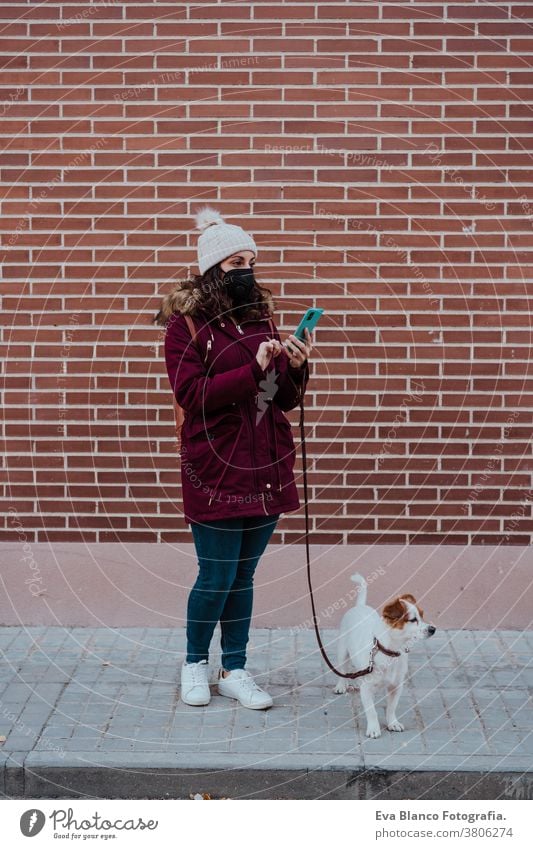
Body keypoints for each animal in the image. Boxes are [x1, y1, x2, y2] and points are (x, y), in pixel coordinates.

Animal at [334, 572, 434, 740]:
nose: (433, 629)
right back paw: (341, 685)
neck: (392, 653)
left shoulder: (396, 686)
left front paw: (392, 723)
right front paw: (374, 729)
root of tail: (360, 606)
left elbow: (391, 708)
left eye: (422, 616)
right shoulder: (367, 689)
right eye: (413, 620)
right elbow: (372, 712)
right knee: (342, 669)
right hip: (342, 651)